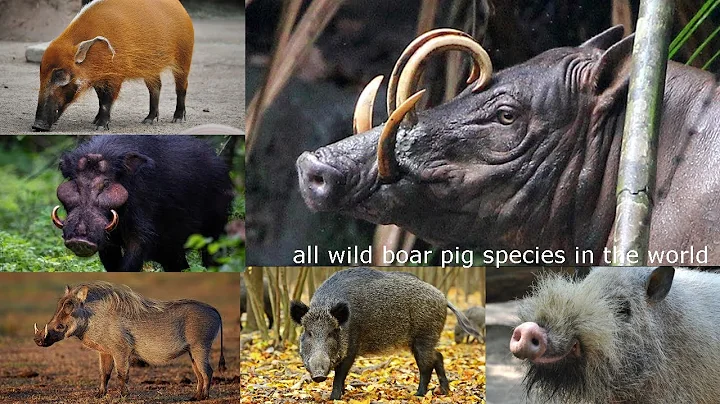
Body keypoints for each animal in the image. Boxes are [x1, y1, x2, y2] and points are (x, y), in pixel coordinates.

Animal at [32, 0, 194, 131]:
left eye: (60, 75)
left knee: (182, 86)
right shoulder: (99, 76)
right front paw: (95, 120)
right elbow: (100, 98)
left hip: (184, 56)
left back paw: (177, 118)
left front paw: (100, 126)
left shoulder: (115, 75)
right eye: (41, 74)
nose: (37, 126)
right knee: (156, 87)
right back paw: (148, 120)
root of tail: (180, 7)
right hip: (151, 67)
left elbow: (107, 100)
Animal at [33, 282, 226, 400]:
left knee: (207, 371)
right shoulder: (105, 351)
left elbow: (122, 374)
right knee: (199, 373)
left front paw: (122, 396)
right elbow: (104, 374)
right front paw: (99, 395)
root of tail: (214, 309)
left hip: (201, 346)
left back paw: (204, 397)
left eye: (70, 307)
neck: (92, 317)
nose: (37, 339)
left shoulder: (121, 350)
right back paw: (195, 397)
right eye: (60, 304)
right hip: (192, 351)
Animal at [51, 135, 233, 272]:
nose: (79, 240)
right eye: (75, 182)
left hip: (216, 229)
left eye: (106, 184)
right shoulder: (106, 242)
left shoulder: (141, 234)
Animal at [290, 267, 480, 400]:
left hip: (424, 336)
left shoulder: (352, 346)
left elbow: (340, 374)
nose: (318, 375)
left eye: (332, 332)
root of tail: (444, 297)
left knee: (427, 365)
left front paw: (334, 398)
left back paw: (418, 395)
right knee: (438, 357)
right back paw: (445, 392)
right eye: (308, 332)